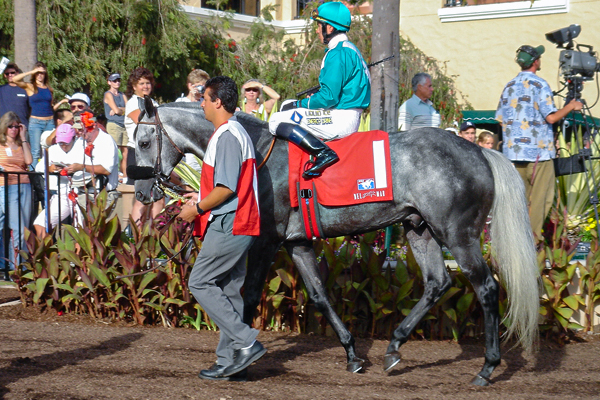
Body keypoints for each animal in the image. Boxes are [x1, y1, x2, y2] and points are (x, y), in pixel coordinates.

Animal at [135, 99, 540, 384]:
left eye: (142, 140)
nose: (140, 192)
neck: (255, 150)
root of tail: (480, 150)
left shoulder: (267, 239)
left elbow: (249, 296)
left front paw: (240, 361)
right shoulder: (296, 242)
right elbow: (318, 295)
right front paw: (352, 354)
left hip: (457, 233)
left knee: (486, 287)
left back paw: (487, 368)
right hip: (419, 228)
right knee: (437, 282)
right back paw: (394, 347)